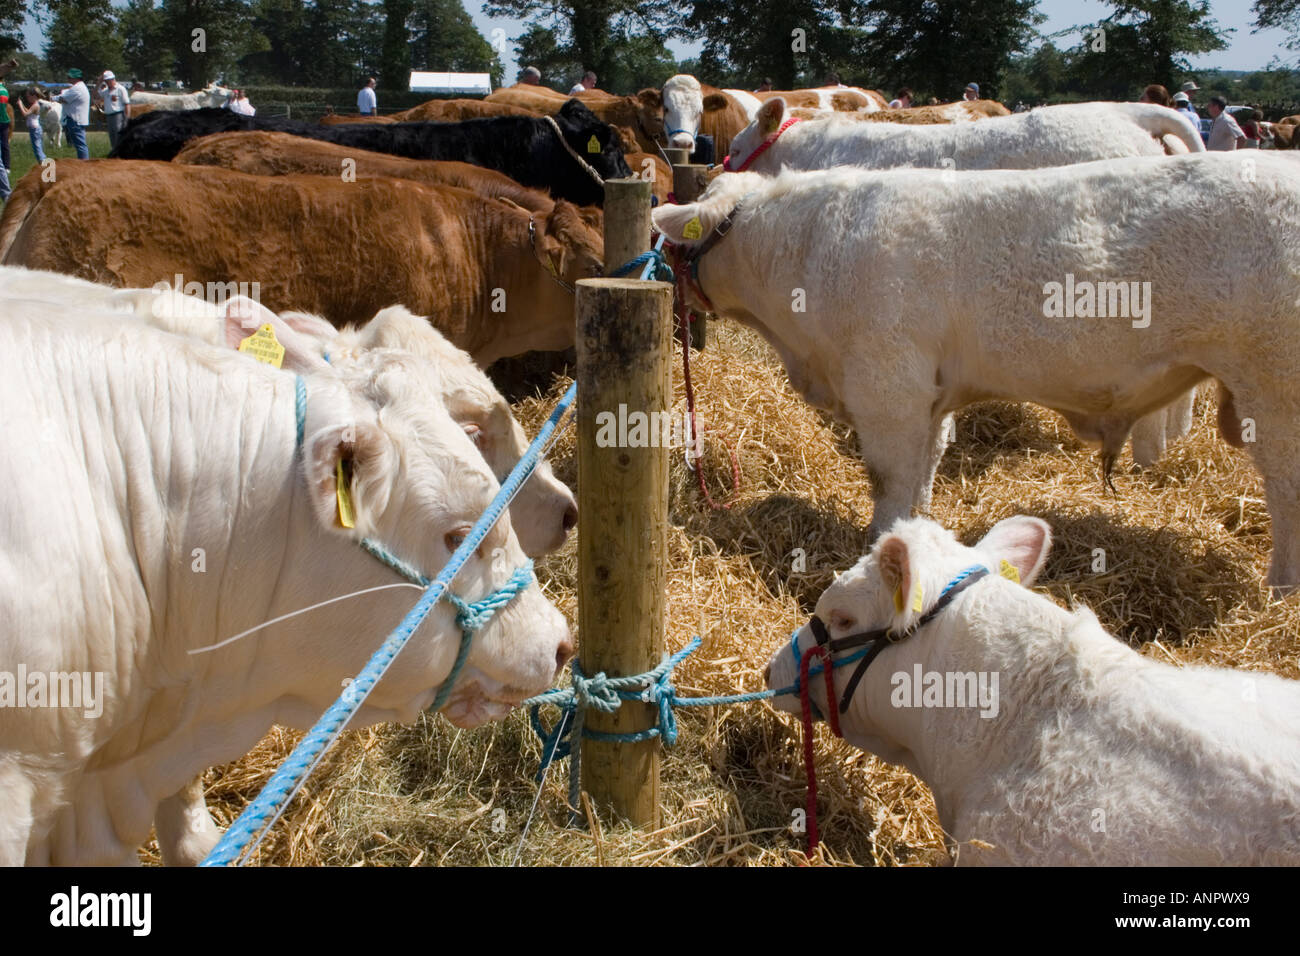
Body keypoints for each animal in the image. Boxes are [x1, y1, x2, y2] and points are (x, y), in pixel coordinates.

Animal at [660, 154, 1300, 590]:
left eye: (677, 245)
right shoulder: (929, 397)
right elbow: (922, 474)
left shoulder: (888, 385)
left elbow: (889, 480)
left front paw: (880, 549)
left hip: (1276, 389)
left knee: (1287, 491)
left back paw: (1279, 590)